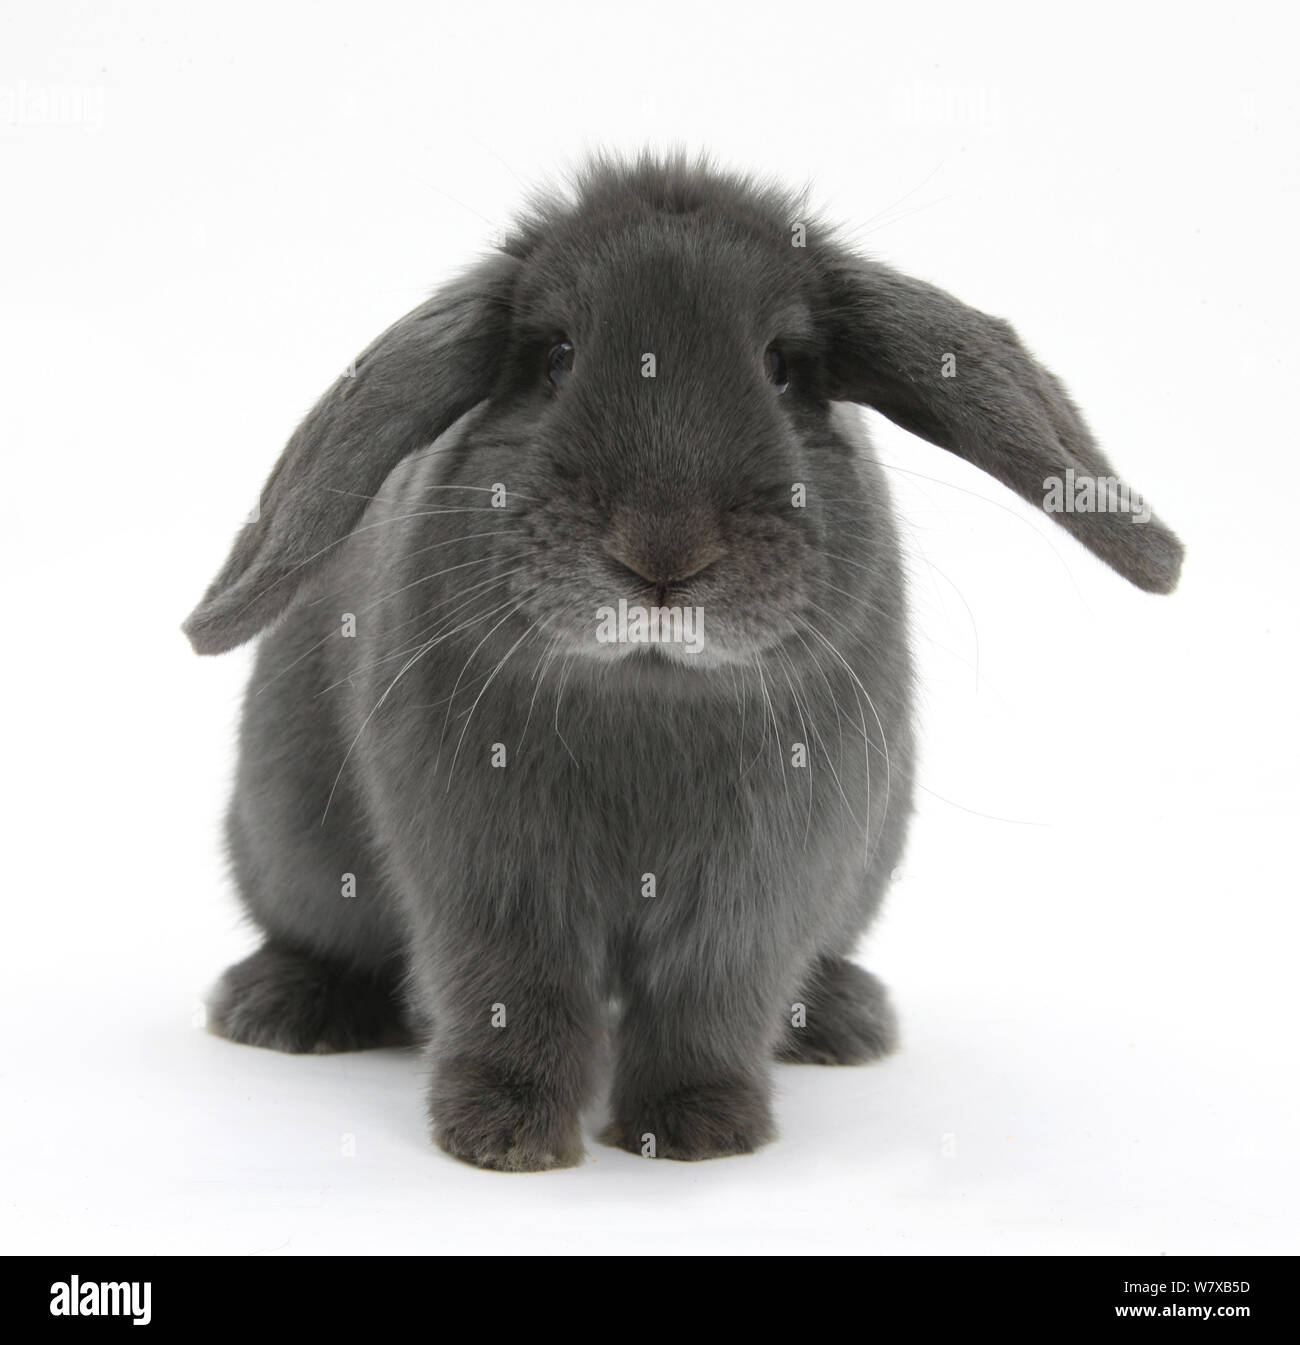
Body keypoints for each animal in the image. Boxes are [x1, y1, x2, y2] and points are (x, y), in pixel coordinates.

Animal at [185, 152, 1183, 1170]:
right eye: (554, 357)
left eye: (782, 365)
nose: (663, 552)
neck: (648, 686)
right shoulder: (489, 876)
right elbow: (512, 994)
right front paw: (503, 1135)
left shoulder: (762, 884)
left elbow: (711, 1000)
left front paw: (698, 1128)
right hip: (286, 842)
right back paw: (282, 1010)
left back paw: (845, 1022)